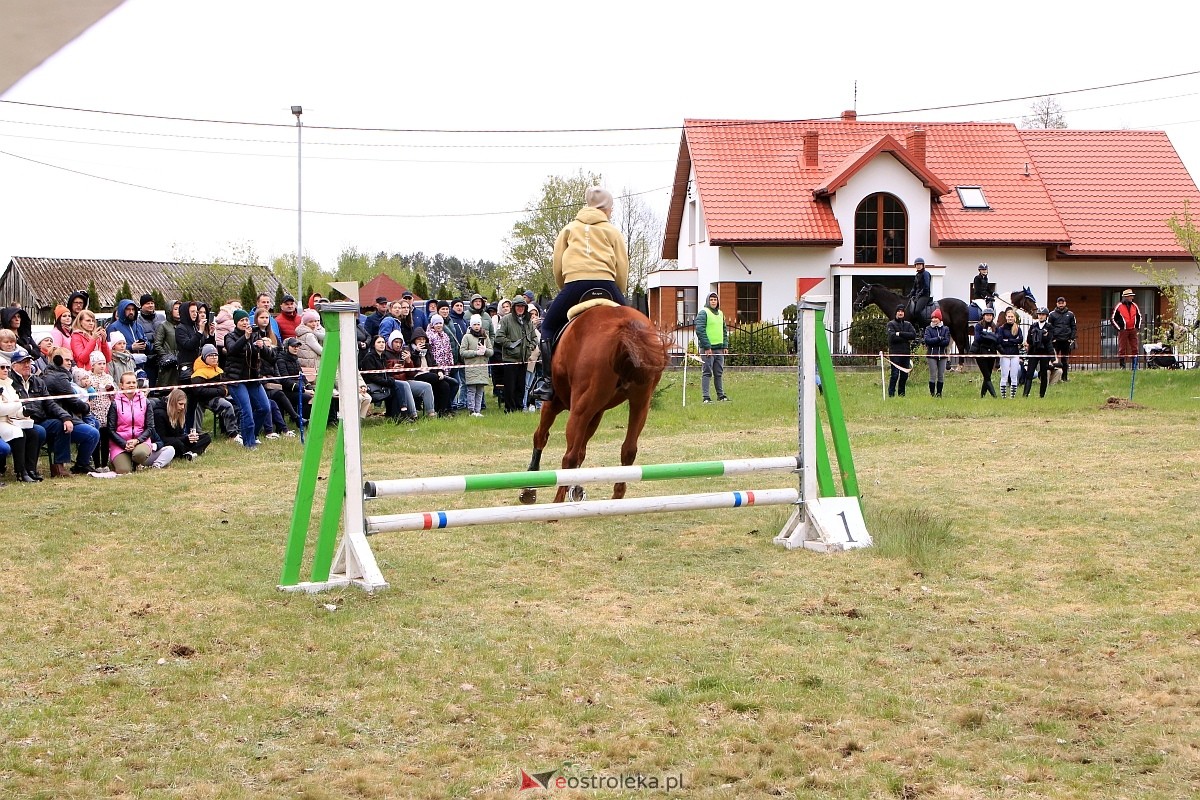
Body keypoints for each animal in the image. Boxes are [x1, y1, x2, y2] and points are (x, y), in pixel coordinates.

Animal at [518, 303, 672, 503]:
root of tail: (626, 329)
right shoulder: (596, 413)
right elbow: (582, 451)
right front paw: (576, 489)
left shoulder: (554, 403)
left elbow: (541, 436)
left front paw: (529, 488)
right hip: (641, 403)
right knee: (628, 450)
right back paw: (616, 498)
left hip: (579, 410)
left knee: (569, 457)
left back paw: (557, 504)